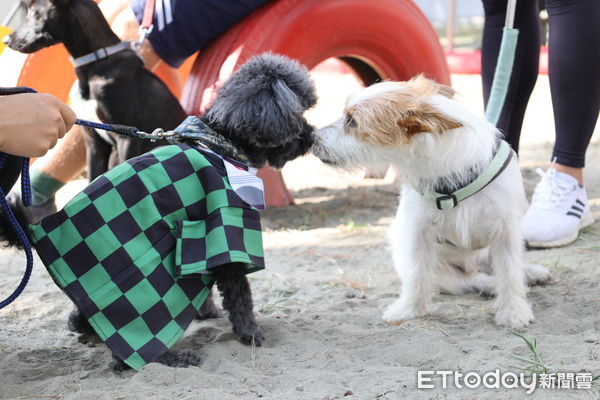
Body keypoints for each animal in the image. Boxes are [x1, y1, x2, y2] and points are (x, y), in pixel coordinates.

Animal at [5, 0, 186, 180]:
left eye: (33, 10)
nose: (6, 40)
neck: (96, 63)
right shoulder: (94, 144)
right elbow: (93, 178)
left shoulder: (128, 139)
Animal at [312, 76, 552, 330]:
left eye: (352, 121)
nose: (310, 137)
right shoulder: (419, 233)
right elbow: (418, 274)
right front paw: (409, 309)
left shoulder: (506, 230)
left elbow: (509, 272)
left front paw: (513, 310)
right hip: (443, 273)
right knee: (470, 280)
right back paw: (489, 285)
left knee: (502, 267)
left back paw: (531, 272)